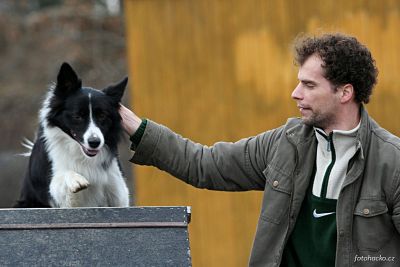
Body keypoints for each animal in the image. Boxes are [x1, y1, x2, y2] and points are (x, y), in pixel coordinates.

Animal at [14, 63, 128, 209]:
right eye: (77, 116)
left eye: (102, 116)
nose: (94, 142)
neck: (81, 154)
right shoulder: (59, 195)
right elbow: (63, 176)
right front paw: (76, 179)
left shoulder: (118, 191)